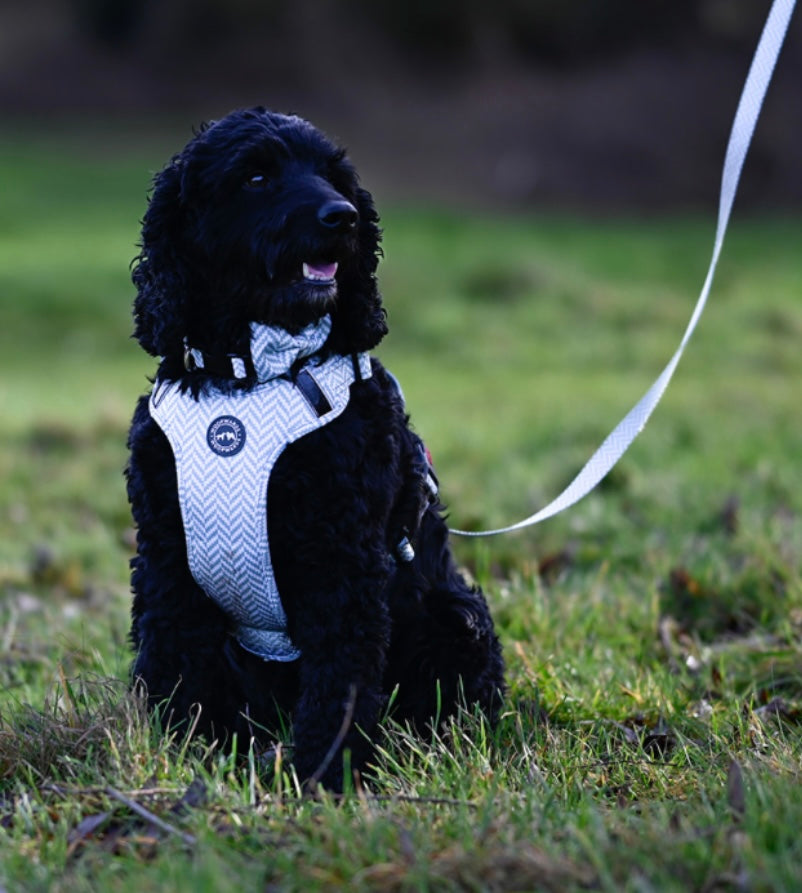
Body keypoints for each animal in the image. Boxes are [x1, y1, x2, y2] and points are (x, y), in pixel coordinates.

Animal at [126, 108, 500, 792]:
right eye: (256, 176)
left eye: (335, 176)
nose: (342, 217)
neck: (250, 378)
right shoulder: (166, 557)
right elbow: (177, 669)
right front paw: (188, 755)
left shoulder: (342, 561)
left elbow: (341, 683)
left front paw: (327, 774)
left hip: (455, 612)